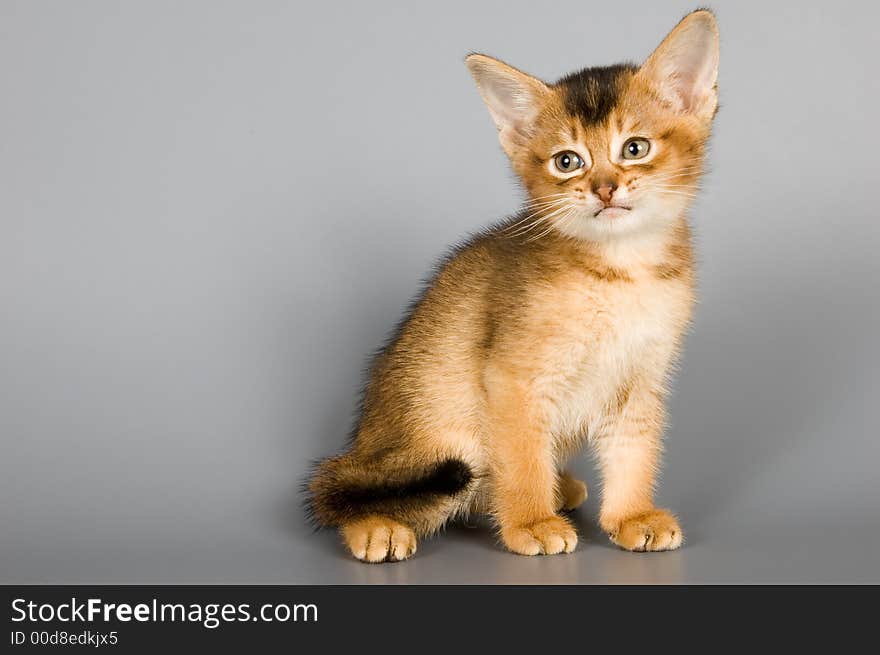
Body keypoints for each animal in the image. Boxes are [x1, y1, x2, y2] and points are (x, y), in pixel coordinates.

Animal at [306, 9, 720, 564]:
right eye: (567, 161)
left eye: (635, 148)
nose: (605, 188)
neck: (619, 273)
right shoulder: (513, 378)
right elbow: (522, 456)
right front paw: (531, 523)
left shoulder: (639, 380)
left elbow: (634, 451)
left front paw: (632, 516)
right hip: (437, 444)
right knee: (350, 492)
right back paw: (378, 529)